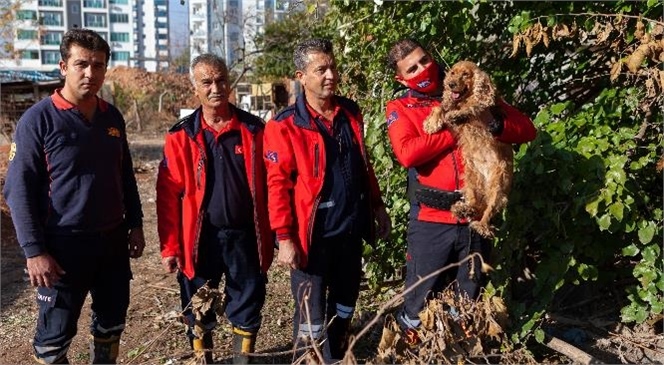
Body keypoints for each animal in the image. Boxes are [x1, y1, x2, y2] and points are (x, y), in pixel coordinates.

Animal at [426, 61, 512, 237]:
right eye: (452, 73)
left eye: (466, 74)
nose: (451, 84)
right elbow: (440, 107)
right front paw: (431, 123)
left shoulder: (485, 104)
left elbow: (473, 105)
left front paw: (458, 114)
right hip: (471, 180)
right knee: (475, 204)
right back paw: (463, 209)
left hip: (498, 185)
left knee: (488, 210)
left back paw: (481, 226)